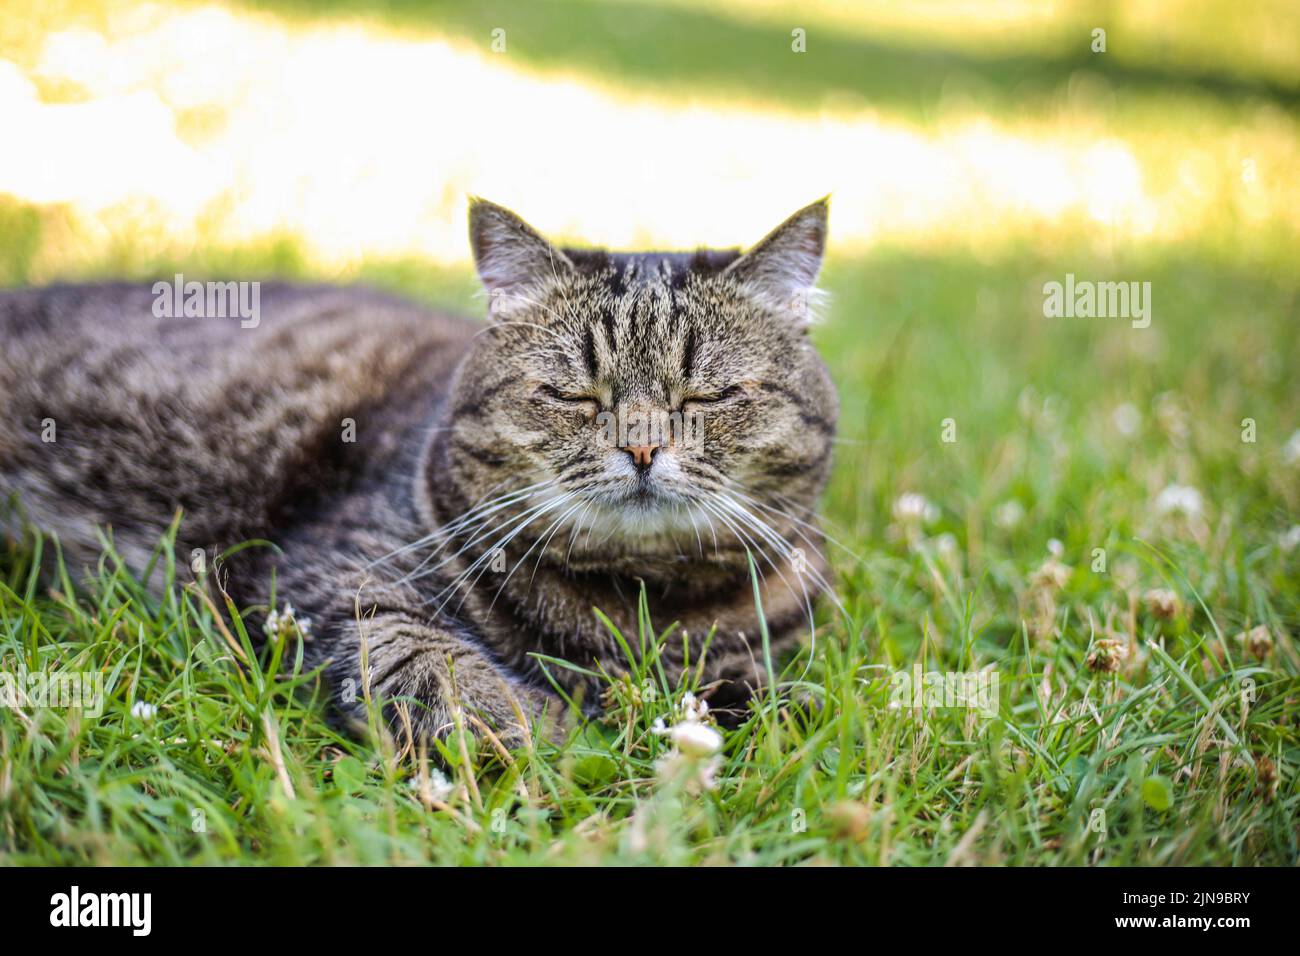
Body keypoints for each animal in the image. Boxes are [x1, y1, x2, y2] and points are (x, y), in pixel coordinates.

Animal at [0, 197, 837, 743]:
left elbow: (795, 700)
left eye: (708, 397)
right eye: (572, 395)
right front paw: (567, 735)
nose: (639, 447)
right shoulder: (332, 579)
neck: (636, 607)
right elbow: (443, 671)